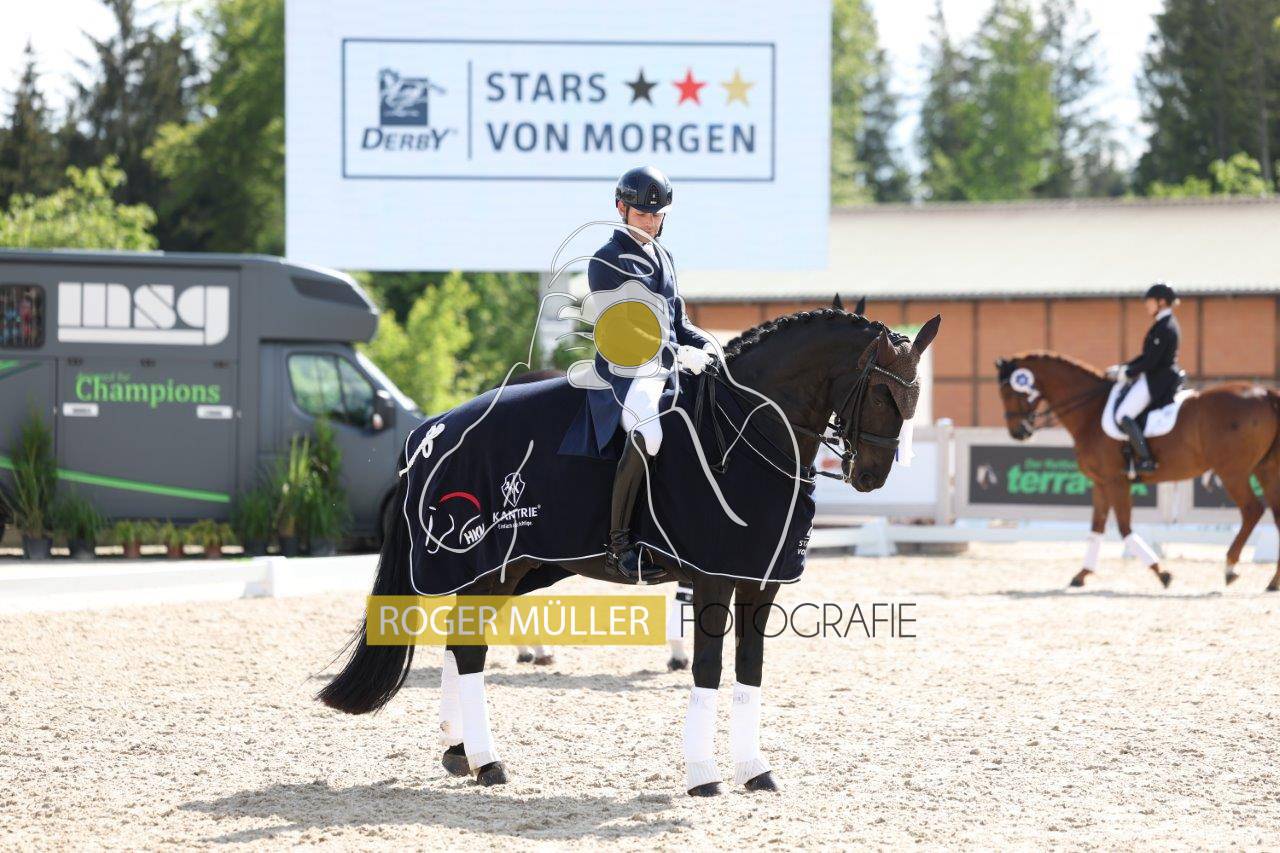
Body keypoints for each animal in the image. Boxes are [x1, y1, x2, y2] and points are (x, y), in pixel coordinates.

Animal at [318, 304, 942, 796]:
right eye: (884, 392)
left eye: (913, 398)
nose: (871, 477)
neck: (746, 434)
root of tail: (432, 429)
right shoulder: (713, 576)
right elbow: (710, 668)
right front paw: (703, 775)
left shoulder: (760, 580)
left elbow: (750, 669)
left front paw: (754, 770)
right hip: (488, 565)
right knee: (469, 651)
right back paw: (489, 761)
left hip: (510, 569)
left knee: (460, 642)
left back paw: (460, 752)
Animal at [996, 352, 1280, 591]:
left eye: (1010, 391)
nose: (1018, 432)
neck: (1090, 411)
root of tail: (1265, 393)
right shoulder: (1100, 483)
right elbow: (1097, 528)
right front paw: (1081, 575)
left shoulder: (1116, 481)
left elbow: (1124, 528)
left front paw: (1162, 573)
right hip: (1265, 470)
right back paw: (1273, 582)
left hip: (1233, 472)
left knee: (1252, 510)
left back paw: (1230, 568)